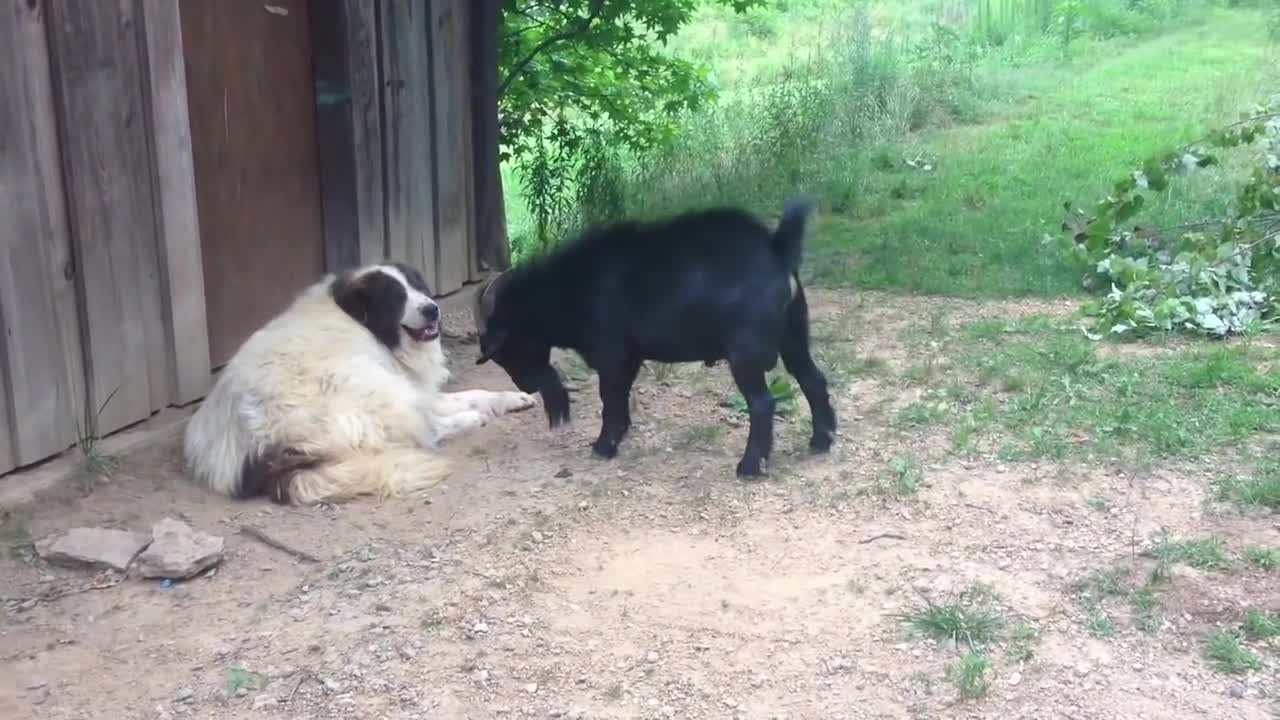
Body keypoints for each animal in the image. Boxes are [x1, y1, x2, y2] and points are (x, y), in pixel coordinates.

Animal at [183, 260, 537, 502]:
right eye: (395, 298)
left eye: (418, 287)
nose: (432, 309)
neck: (359, 319)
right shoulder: (405, 386)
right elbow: (457, 401)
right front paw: (485, 409)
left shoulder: (417, 389)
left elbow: (473, 392)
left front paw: (513, 398)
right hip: (367, 385)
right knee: (423, 433)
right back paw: (469, 420)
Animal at [476, 196, 834, 476]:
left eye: (505, 351)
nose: (526, 387)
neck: (568, 287)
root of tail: (776, 249)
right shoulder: (629, 357)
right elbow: (620, 396)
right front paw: (620, 434)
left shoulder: (610, 354)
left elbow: (609, 398)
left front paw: (604, 446)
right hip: (794, 336)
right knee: (812, 379)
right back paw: (822, 440)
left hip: (744, 353)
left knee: (762, 403)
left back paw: (749, 466)